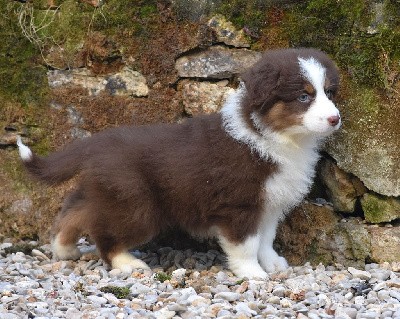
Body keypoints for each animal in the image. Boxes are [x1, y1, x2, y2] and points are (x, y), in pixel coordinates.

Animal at [16, 48, 340, 280]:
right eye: (303, 96)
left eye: (329, 92)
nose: (335, 119)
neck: (274, 136)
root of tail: (97, 142)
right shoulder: (239, 205)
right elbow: (246, 244)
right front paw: (253, 273)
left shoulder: (270, 202)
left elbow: (266, 239)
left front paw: (273, 263)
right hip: (135, 205)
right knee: (105, 234)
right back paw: (127, 264)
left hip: (108, 192)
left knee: (76, 208)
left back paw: (63, 247)